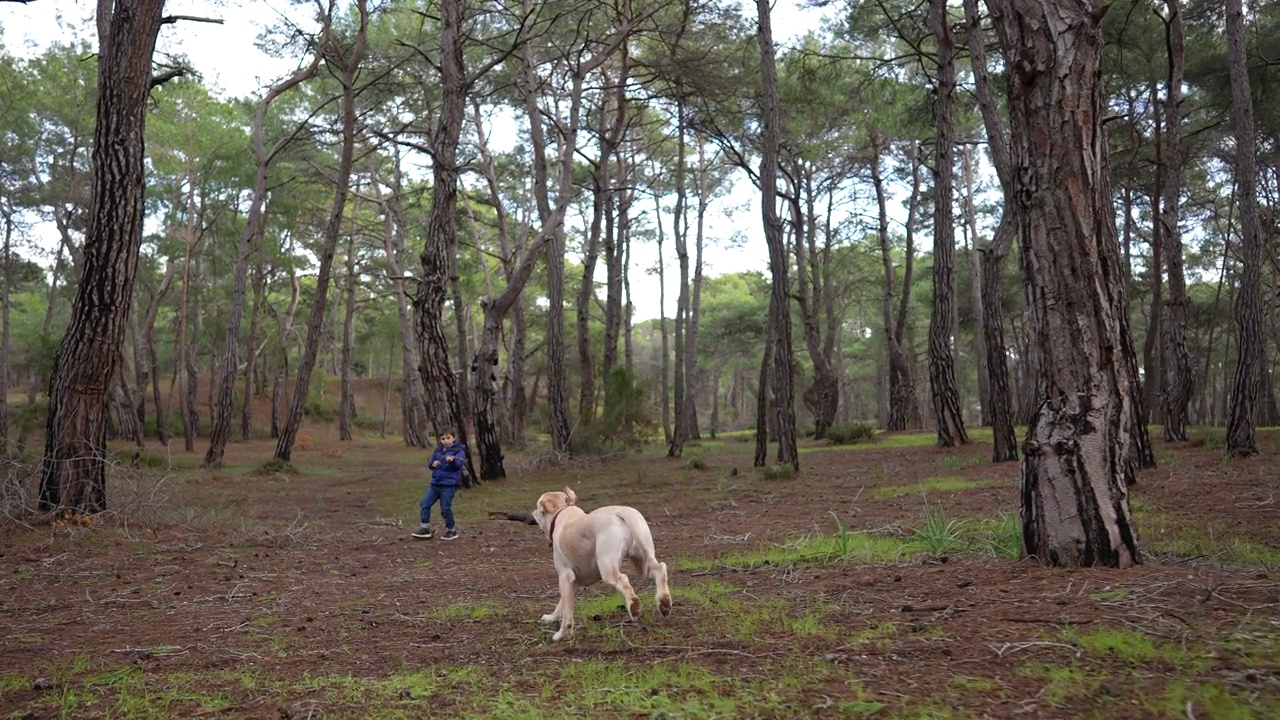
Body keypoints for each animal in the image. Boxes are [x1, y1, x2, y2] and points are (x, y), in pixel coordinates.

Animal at [529, 484, 675, 635]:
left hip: (608, 568)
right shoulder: (573, 582)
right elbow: (562, 604)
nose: (532, 513)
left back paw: (634, 607)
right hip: (642, 561)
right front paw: (551, 618)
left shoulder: (565, 576)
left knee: (623, 580)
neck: (563, 513)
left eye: (538, 507)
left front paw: (562, 633)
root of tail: (621, 512)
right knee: (660, 568)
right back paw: (664, 603)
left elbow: (566, 611)